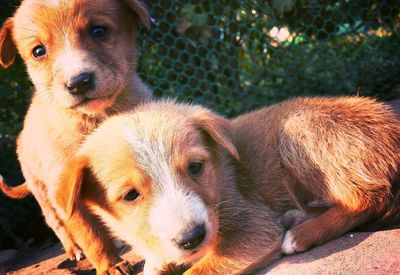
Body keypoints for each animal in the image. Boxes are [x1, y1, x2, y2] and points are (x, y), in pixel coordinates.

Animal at [0, 0, 152, 274]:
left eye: (99, 31)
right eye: (38, 51)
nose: (78, 82)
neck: (96, 118)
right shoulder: (65, 189)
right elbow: (90, 235)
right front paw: (110, 266)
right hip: (44, 195)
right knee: (58, 224)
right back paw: (73, 251)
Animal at [53, 98, 400, 274]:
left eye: (195, 167)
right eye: (130, 196)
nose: (192, 238)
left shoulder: (254, 227)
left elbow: (197, 271)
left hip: (299, 128)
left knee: (369, 199)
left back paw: (300, 234)